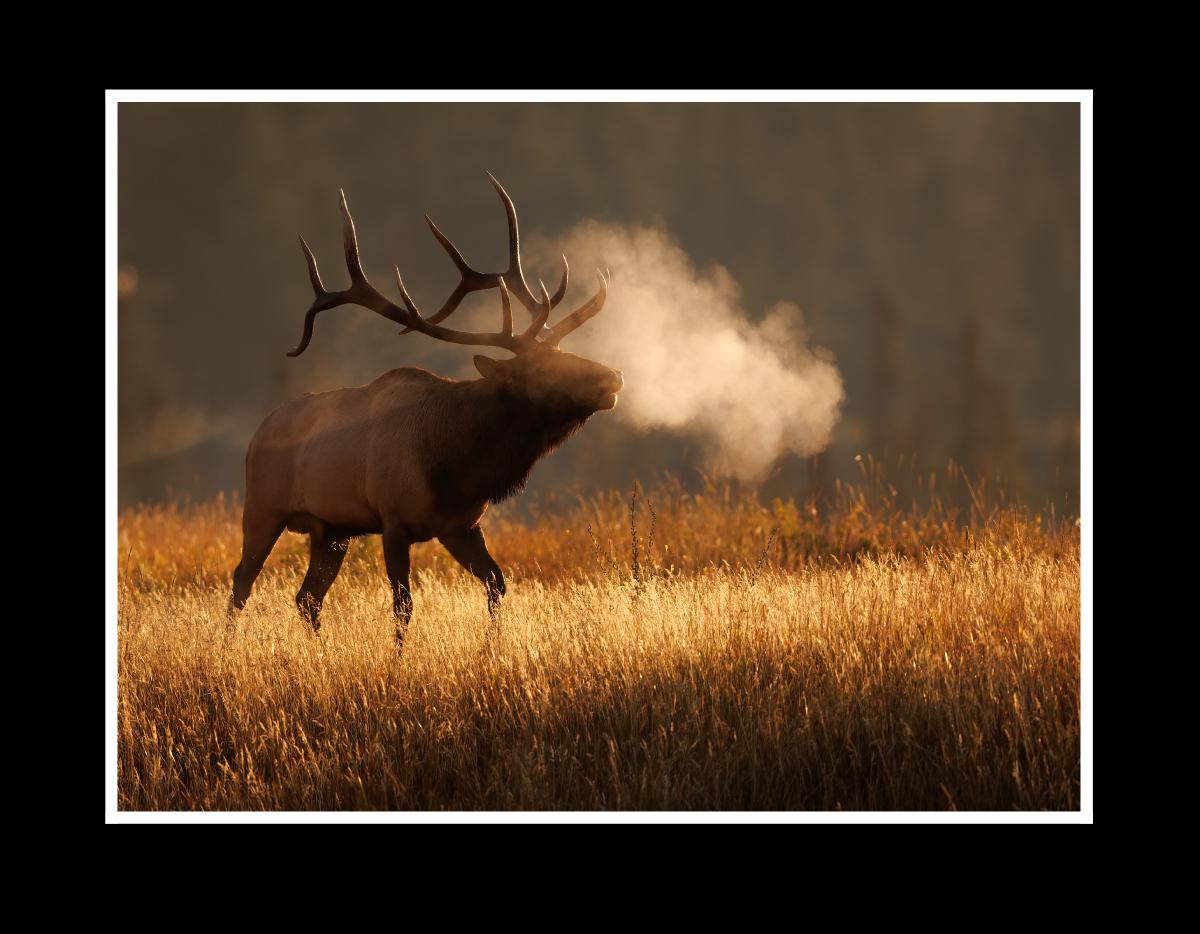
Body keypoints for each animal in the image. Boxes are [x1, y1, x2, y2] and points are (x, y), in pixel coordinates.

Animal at [225, 172, 624, 638]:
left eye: (566, 353)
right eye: (543, 370)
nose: (613, 376)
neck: (457, 464)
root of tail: (257, 434)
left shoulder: (461, 526)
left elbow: (497, 583)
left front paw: (494, 645)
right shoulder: (393, 521)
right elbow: (403, 605)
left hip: (332, 530)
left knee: (307, 598)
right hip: (262, 508)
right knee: (242, 581)